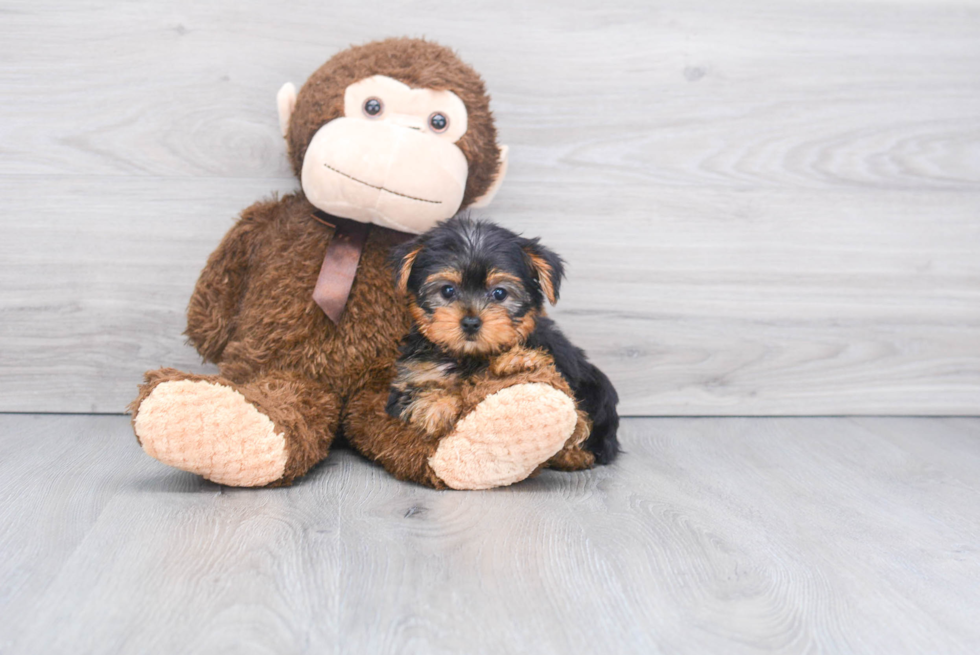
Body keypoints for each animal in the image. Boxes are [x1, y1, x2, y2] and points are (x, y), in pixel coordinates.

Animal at [386, 218, 616, 468]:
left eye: (499, 293)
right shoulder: (411, 376)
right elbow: (416, 394)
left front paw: (516, 360)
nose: (471, 322)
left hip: (598, 391)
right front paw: (439, 407)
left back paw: (575, 454)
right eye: (447, 290)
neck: (470, 356)